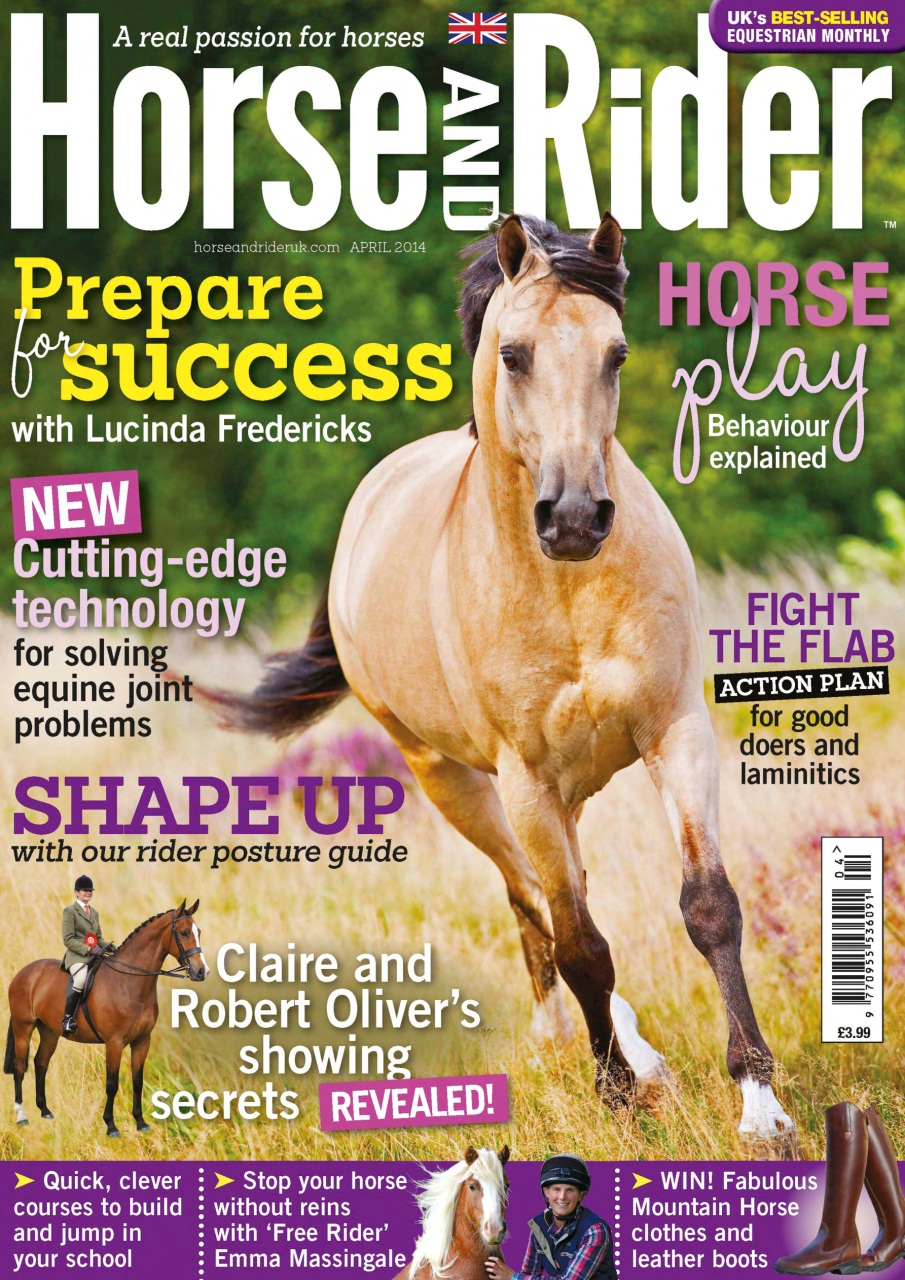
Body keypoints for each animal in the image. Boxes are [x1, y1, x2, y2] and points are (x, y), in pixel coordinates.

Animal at [5, 899, 207, 1136]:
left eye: (198, 932)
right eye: (184, 932)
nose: (202, 971)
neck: (129, 982)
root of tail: (23, 972)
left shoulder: (142, 1041)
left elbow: (137, 1081)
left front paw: (141, 1122)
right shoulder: (114, 1043)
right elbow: (112, 1084)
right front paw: (111, 1126)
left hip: (49, 1032)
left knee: (40, 1063)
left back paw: (45, 1111)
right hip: (23, 1028)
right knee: (20, 1068)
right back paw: (22, 1116)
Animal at [211, 213, 795, 1145]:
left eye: (617, 353)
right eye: (514, 354)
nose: (574, 518)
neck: (566, 589)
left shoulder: (674, 730)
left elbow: (709, 906)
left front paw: (759, 1104)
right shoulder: (526, 779)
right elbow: (578, 943)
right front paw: (615, 1094)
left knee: (559, 900)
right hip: (452, 780)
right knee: (535, 904)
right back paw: (615, 1055)